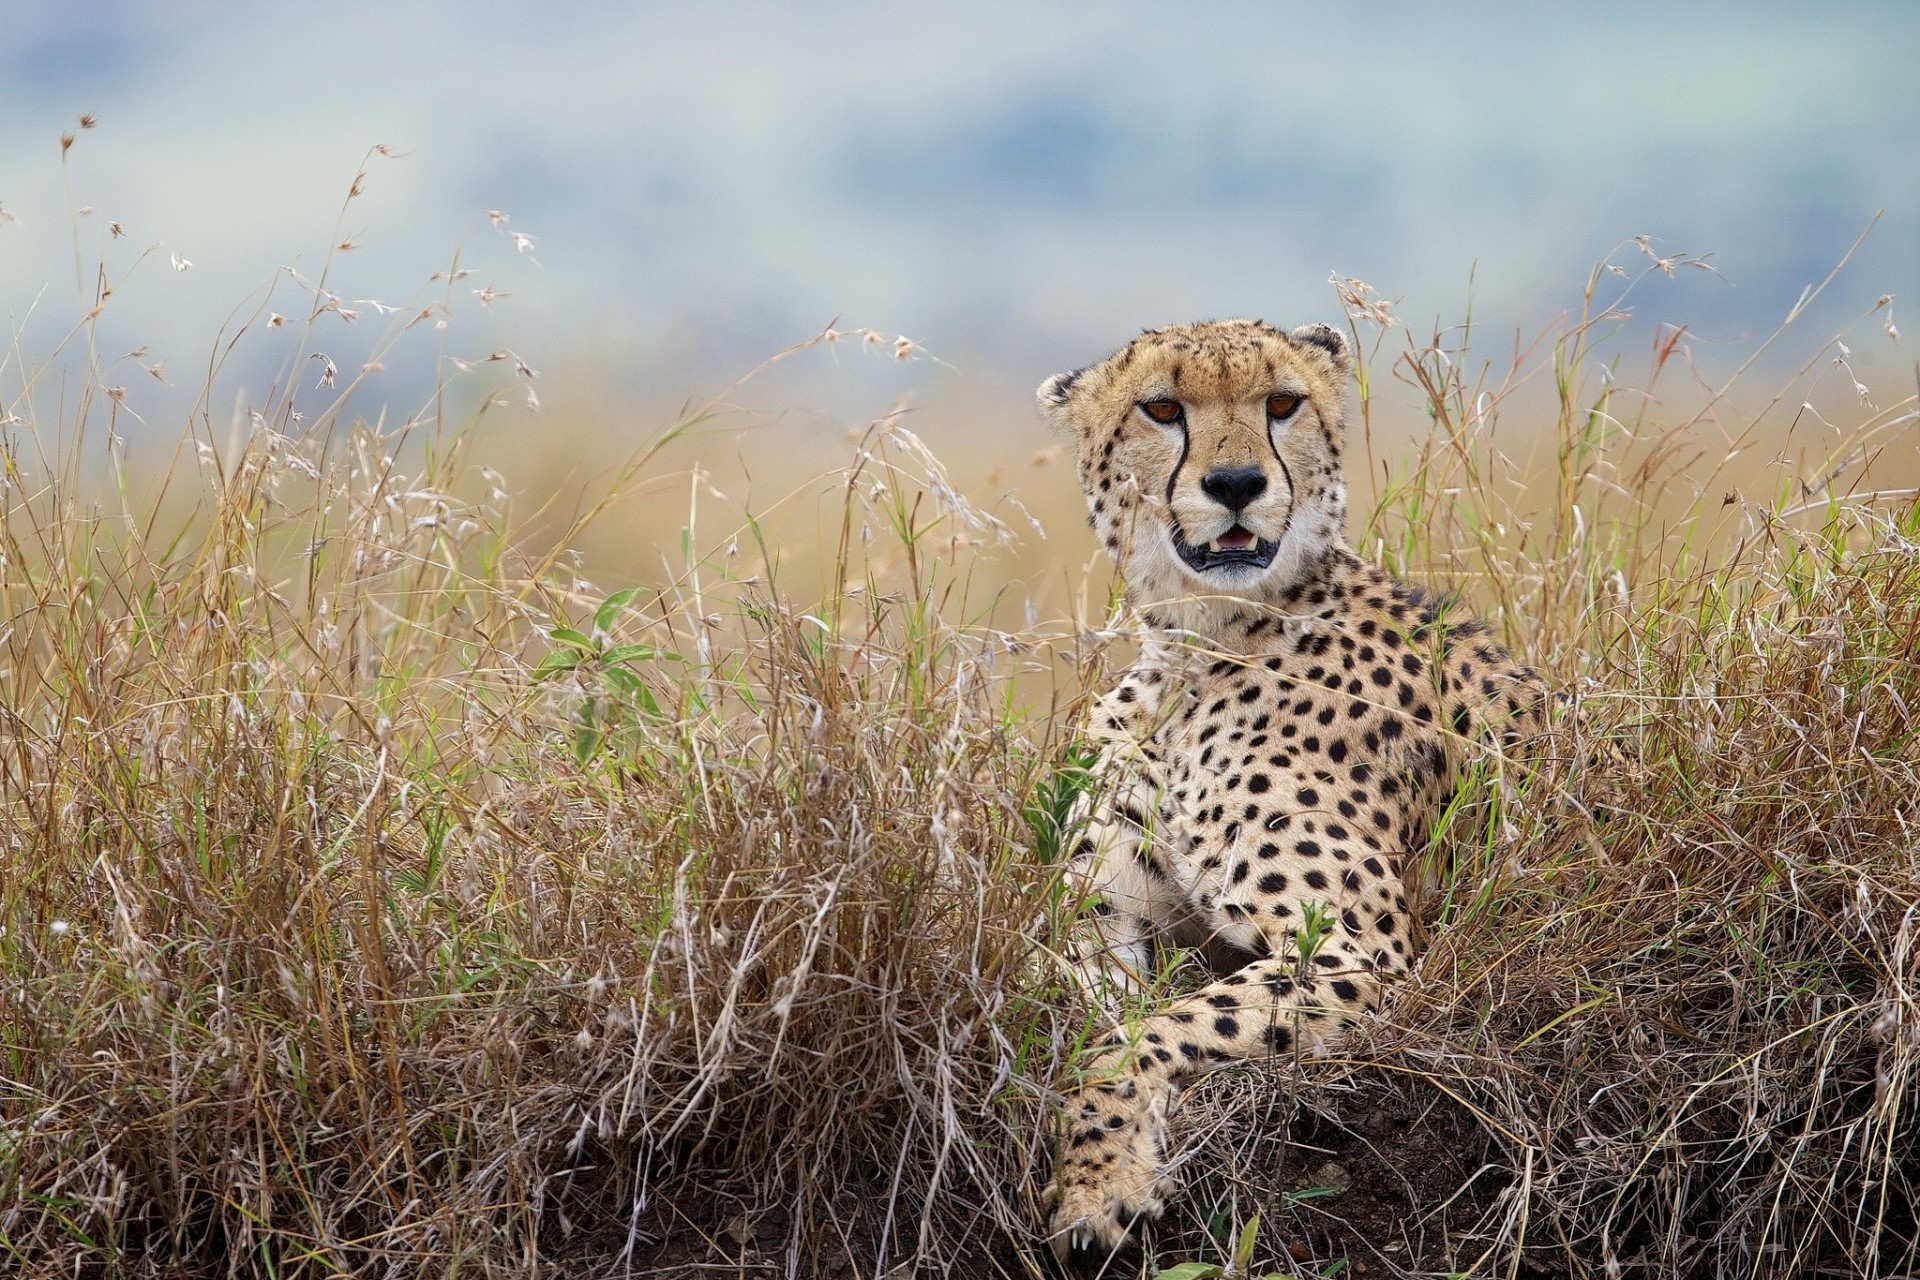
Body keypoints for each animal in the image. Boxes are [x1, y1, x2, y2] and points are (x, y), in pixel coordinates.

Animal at [1036, 318, 1543, 1258]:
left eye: (1282, 402)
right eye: (1161, 409)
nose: (1236, 483)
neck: (1198, 645)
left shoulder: (1360, 955)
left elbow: (1144, 1030)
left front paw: (1099, 1187)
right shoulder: (1099, 917)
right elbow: (1091, 1012)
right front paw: (1102, 1168)